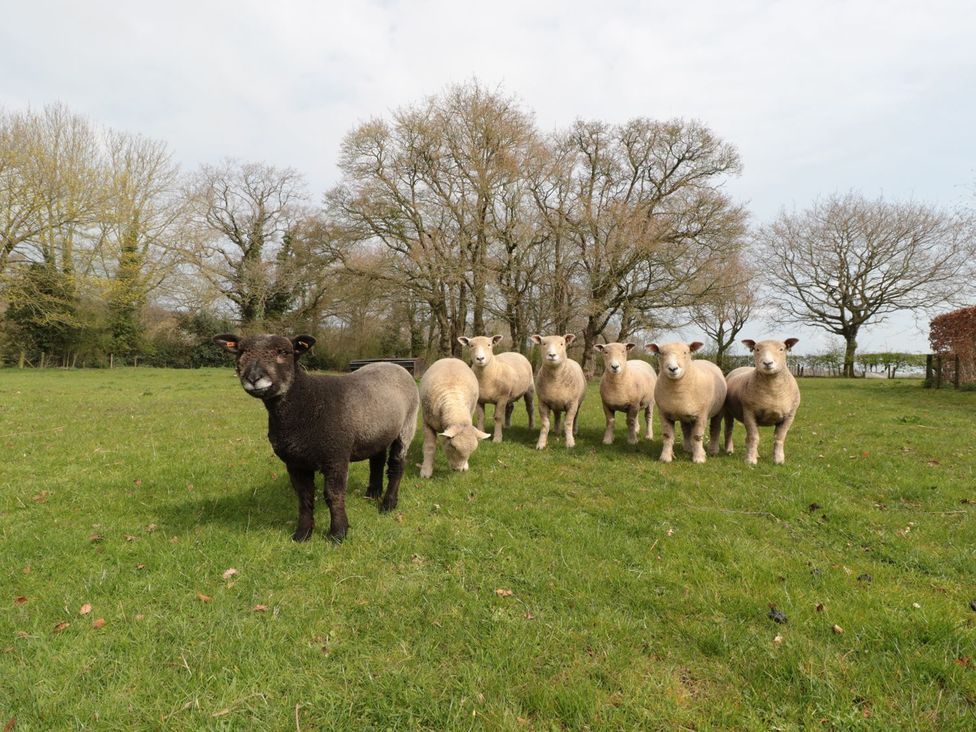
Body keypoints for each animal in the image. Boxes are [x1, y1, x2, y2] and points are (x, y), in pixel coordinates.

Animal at [213, 333, 419, 543]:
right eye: (241, 352)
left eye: (284, 352)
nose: (253, 378)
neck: (307, 403)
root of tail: (392, 364)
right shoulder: (295, 462)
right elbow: (304, 497)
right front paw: (302, 534)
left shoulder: (336, 456)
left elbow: (333, 495)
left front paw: (338, 533)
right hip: (378, 430)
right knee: (377, 460)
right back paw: (373, 493)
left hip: (408, 424)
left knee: (397, 465)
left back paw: (388, 503)